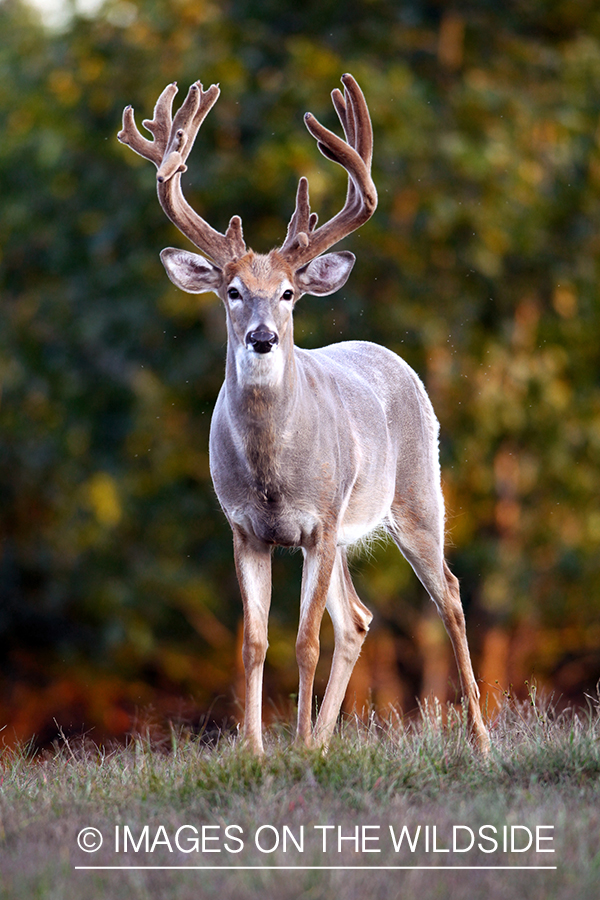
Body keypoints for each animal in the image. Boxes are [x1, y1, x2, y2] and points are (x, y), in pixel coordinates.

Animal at [119, 74, 490, 756]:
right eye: (232, 290)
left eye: (289, 292)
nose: (263, 336)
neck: (272, 473)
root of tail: (393, 358)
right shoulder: (246, 528)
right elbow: (254, 642)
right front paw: (256, 751)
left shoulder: (317, 521)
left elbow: (304, 641)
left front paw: (287, 745)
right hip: (347, 530)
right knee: (359, 618)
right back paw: (318, 741)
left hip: (416, 495)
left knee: (448, 593)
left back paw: (479, 741)